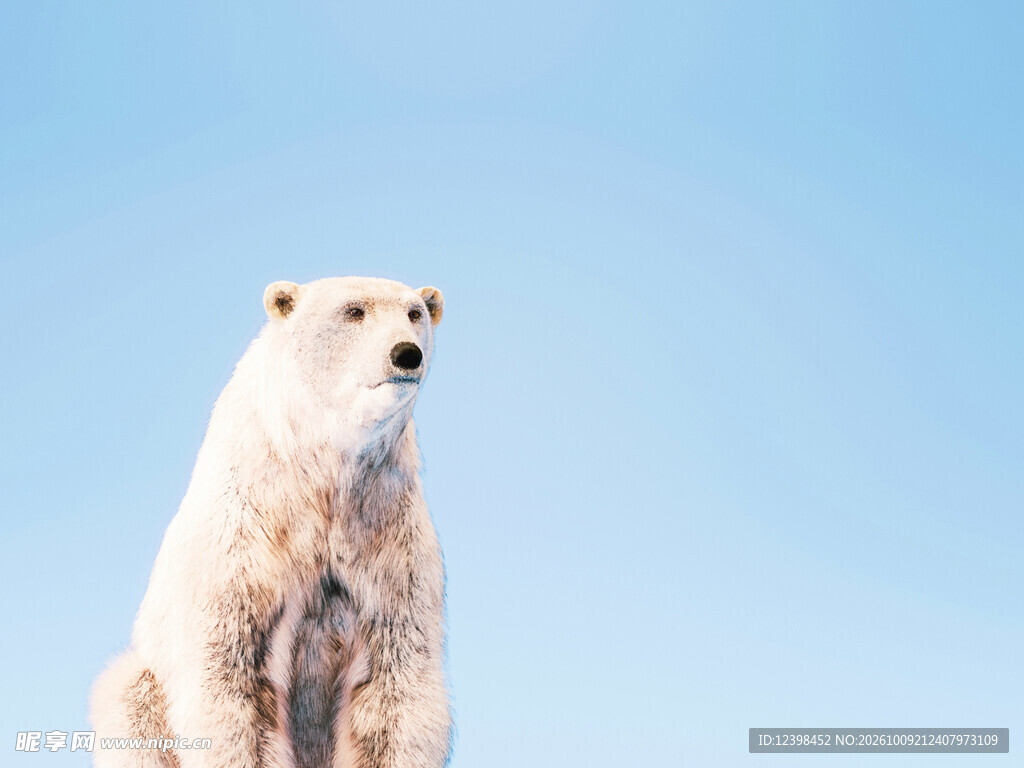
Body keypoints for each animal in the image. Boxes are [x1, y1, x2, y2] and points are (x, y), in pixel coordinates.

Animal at [90, 276, 452, 768]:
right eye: (353, 310)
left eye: (415, 312)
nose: (406, 353)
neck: (320, 478)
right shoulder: (246, 535)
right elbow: (232, 678)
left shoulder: (386, 532)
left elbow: (394, 686)